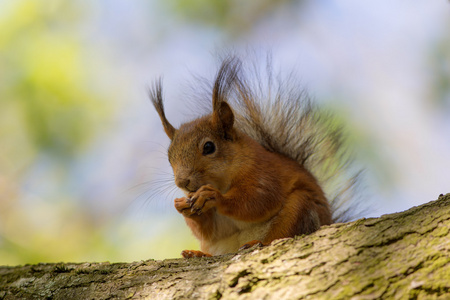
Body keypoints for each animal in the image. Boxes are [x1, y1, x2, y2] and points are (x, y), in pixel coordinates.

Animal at [149, 55, 360, 258]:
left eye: (209, 147)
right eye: (169, 157)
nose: (182, 182)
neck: (223, 179)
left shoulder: (265, 174)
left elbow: (256, 201)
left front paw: (214, 196)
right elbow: (212, 230)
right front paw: (182, 206)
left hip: (300, 208)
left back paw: (257, 242)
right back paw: (198, 253)